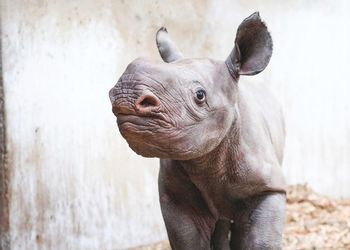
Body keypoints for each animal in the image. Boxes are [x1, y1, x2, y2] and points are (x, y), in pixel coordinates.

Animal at [109, 12, 284, 250]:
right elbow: (188, 241)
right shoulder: (176, 198)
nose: (125, 93)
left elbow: (261, 241)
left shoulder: (269, 188)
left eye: (200, 95)